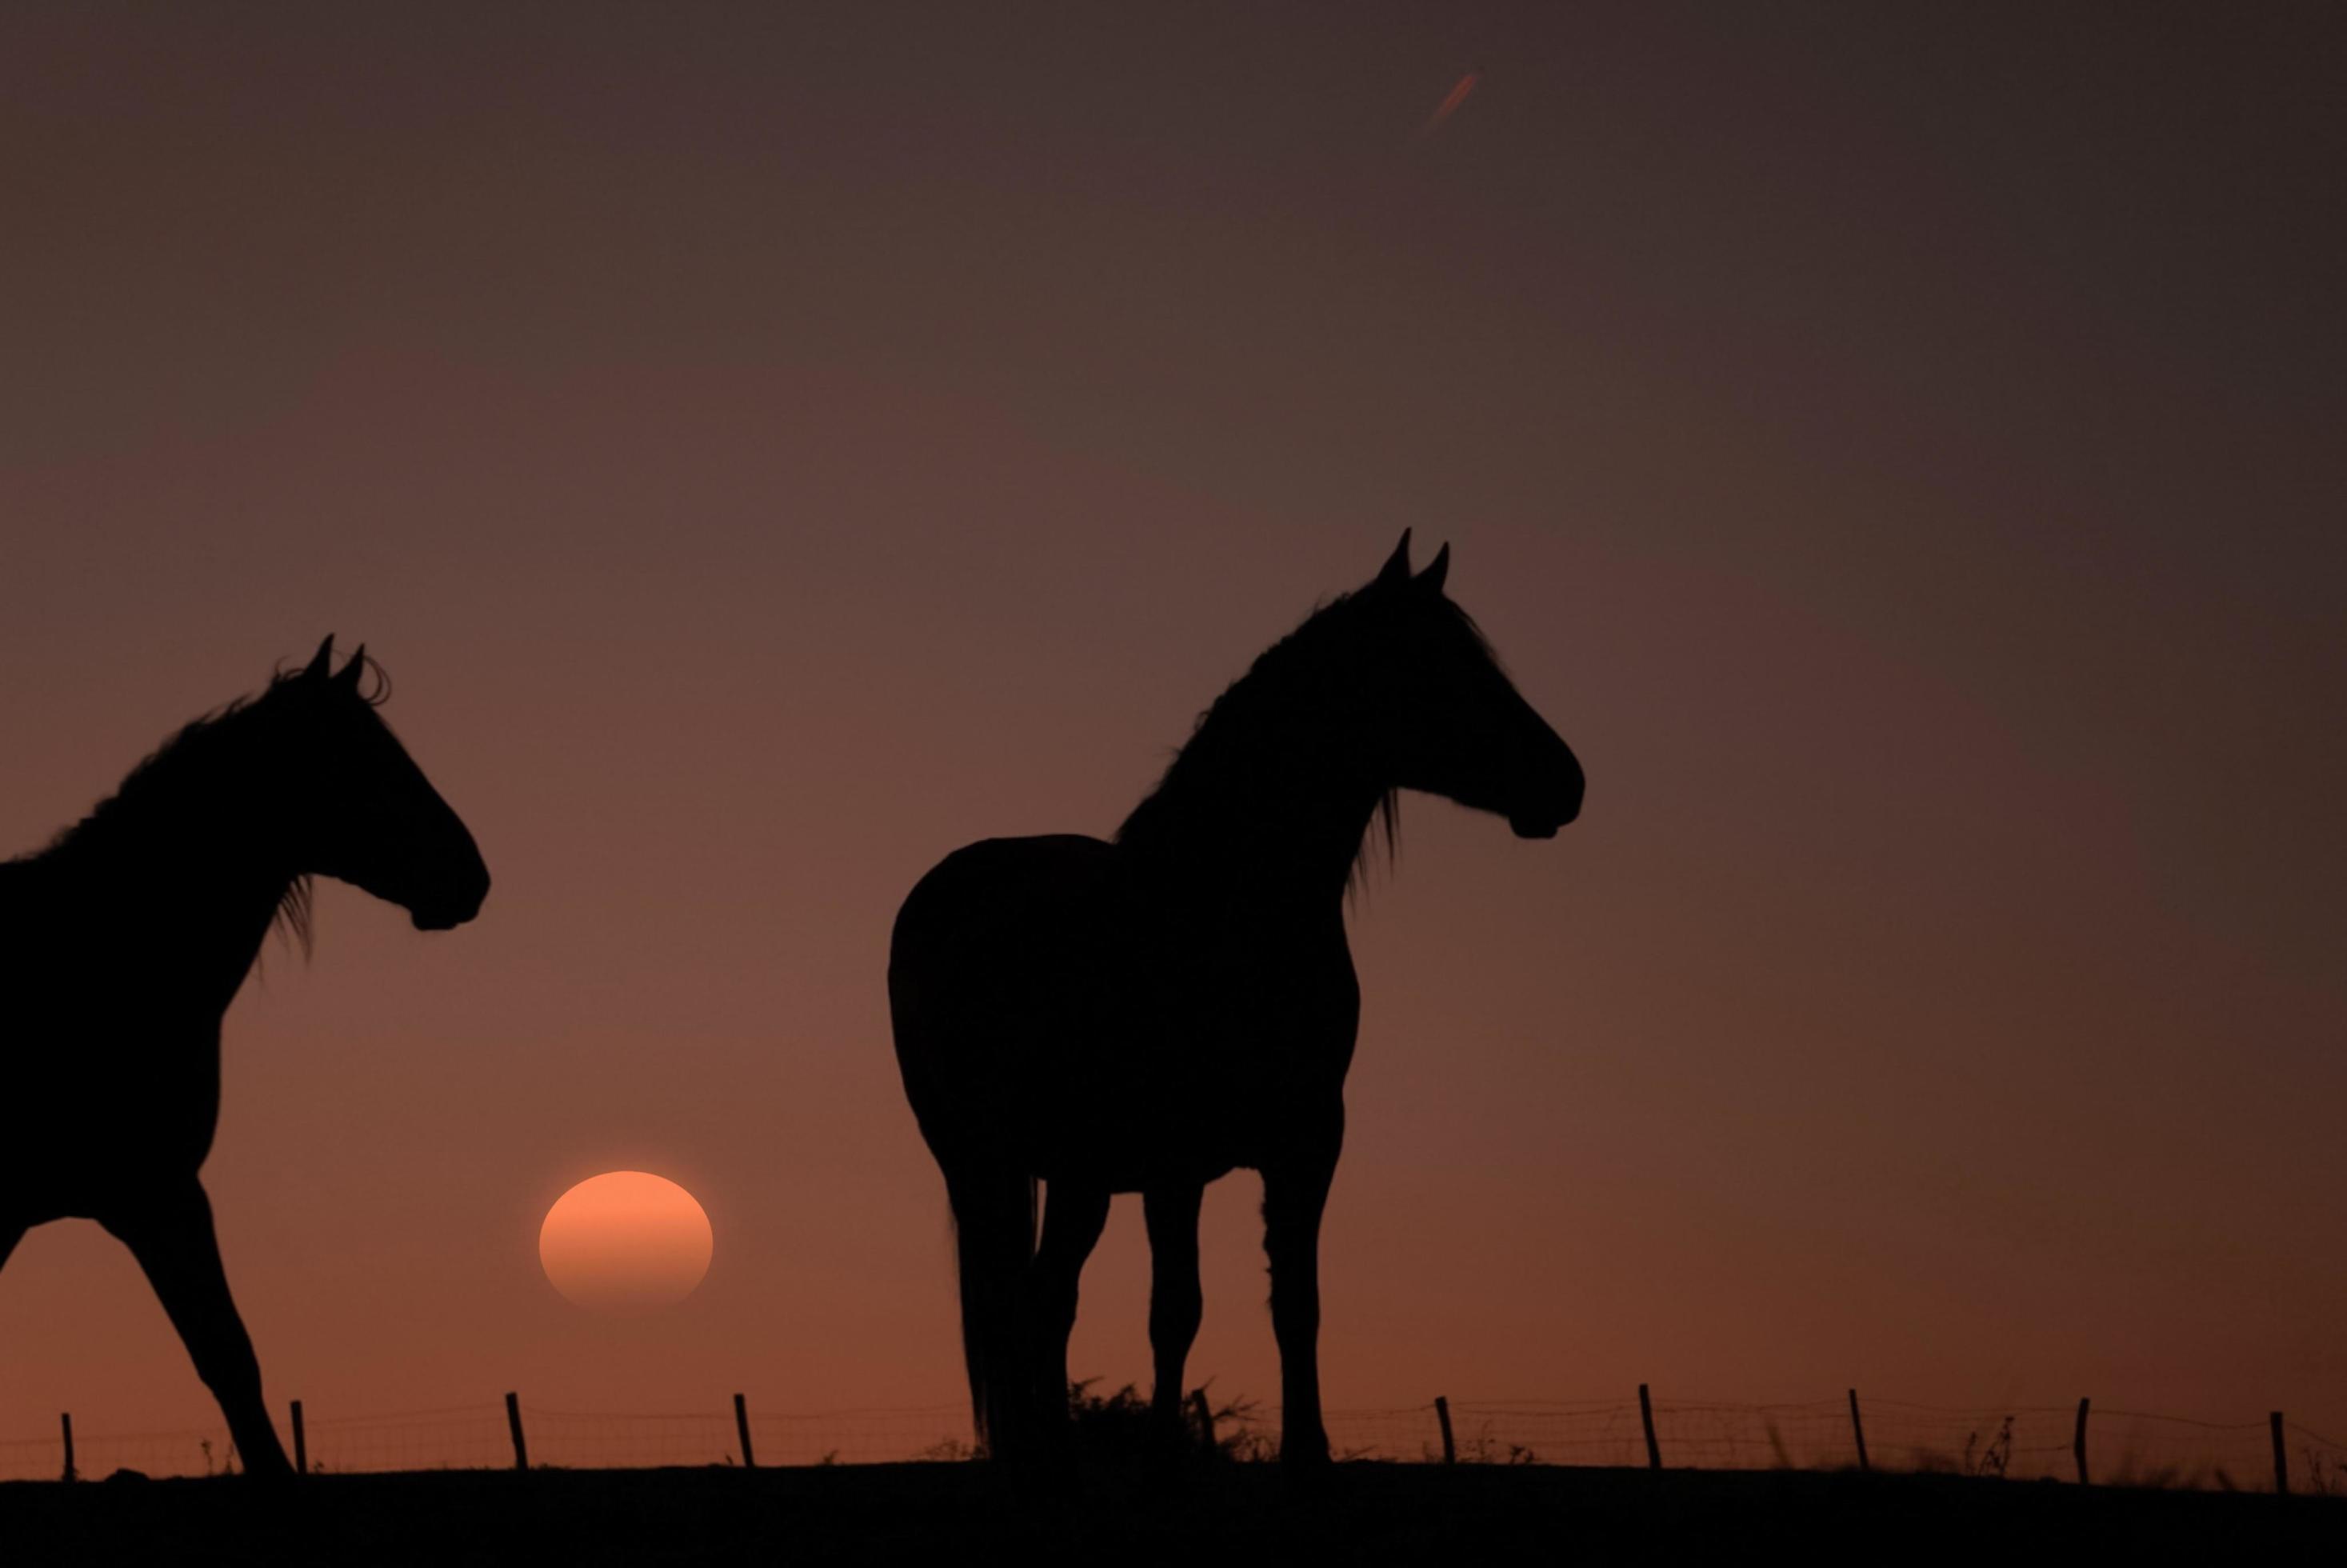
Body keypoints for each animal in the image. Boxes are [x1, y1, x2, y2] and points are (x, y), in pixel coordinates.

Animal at [0, 638, 486, 1474]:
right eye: (366, 760)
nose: (471, 877)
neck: (92, 949)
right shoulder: (159, 1193)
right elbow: (228, 1358)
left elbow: (230, 1356)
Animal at [887, 533, 1586, 1464]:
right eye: (1439, 665)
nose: (1568, 782)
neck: (1220, 908)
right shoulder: (1174, 1161)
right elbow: (1174, 1312)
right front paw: (1161, 1450)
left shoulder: (1309, 1142)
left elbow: (1297, 1304)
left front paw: (1307, 1447)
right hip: (979, 1161)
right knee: (1014, 1302)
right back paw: (1038, 1450)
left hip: (1077, 1176)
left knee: (1047, 1297)